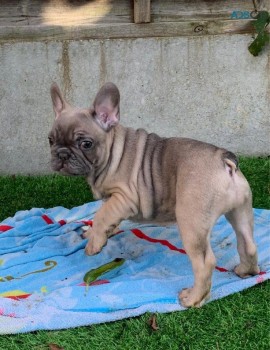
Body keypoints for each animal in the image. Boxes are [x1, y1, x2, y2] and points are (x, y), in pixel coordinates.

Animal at [48, 82, 260, 306]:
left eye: (86, 144)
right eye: (50, 140)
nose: (62, 154)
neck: (112, 151)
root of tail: (223, 160)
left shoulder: (124, 198)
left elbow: (101, 216)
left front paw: (95, 242)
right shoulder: (113, 201)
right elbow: (107, 217)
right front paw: (101, 232)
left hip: (191, 221)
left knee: (205, 263)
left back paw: (192, 298)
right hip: (241, 210)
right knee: (248, 243)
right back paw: (246, 271)